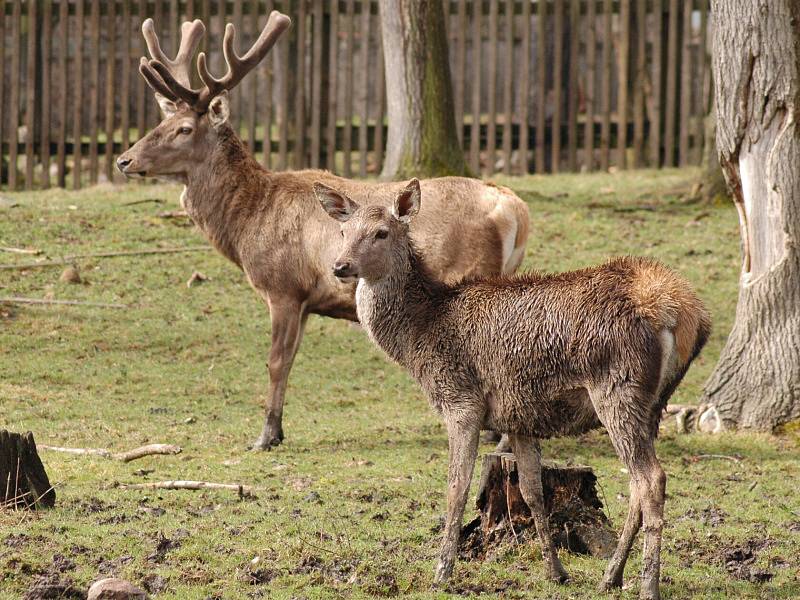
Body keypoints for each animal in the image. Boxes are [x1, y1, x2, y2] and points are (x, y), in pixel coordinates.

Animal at [117, 12, 532, 450]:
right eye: (161, 119)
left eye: (183, 129)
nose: (124, 160)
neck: (248, 223)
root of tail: (514, 209)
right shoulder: (307, 301)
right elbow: (290, 359)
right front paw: (277, 430)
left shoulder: (283, 286)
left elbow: (276, 361)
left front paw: (265, 436)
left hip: (471, 271)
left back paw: (502, 440)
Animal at [316, 179, 708, 600]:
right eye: (344, 231)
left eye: (381, 232)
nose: (340, 266)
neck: (420, 337)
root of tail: (683, 313)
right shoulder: (518, 416)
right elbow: (533, 491)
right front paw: (556, 572)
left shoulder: (461, 401)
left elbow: (456, 488)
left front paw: (442, 572)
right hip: (656, 401)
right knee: (637, 482)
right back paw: (611, 576)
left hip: (618, 389)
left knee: (651, 479)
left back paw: (648, 584)